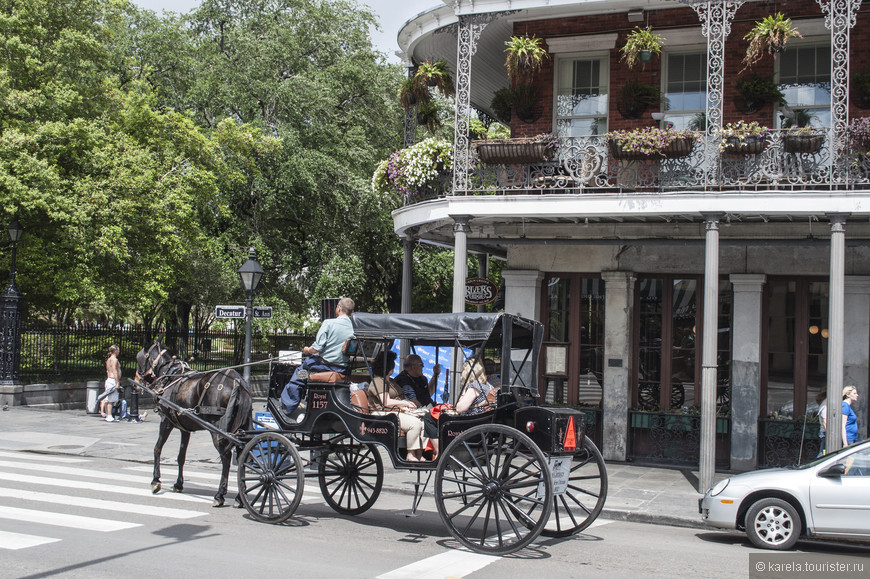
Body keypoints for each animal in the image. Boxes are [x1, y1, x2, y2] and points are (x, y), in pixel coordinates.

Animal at [135, 342, 252, 506]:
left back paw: (220, 495)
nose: (137, 380)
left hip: (217, 430)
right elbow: (181, 457)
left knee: (226, 457)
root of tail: (237, 382)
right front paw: (178, 484)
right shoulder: (185, 429)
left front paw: (155, 481)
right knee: (242, 455)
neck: (170, 377)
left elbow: (157, 448)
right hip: (242, 427)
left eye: (138, 358)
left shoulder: (166, 422)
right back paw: (239, 497)